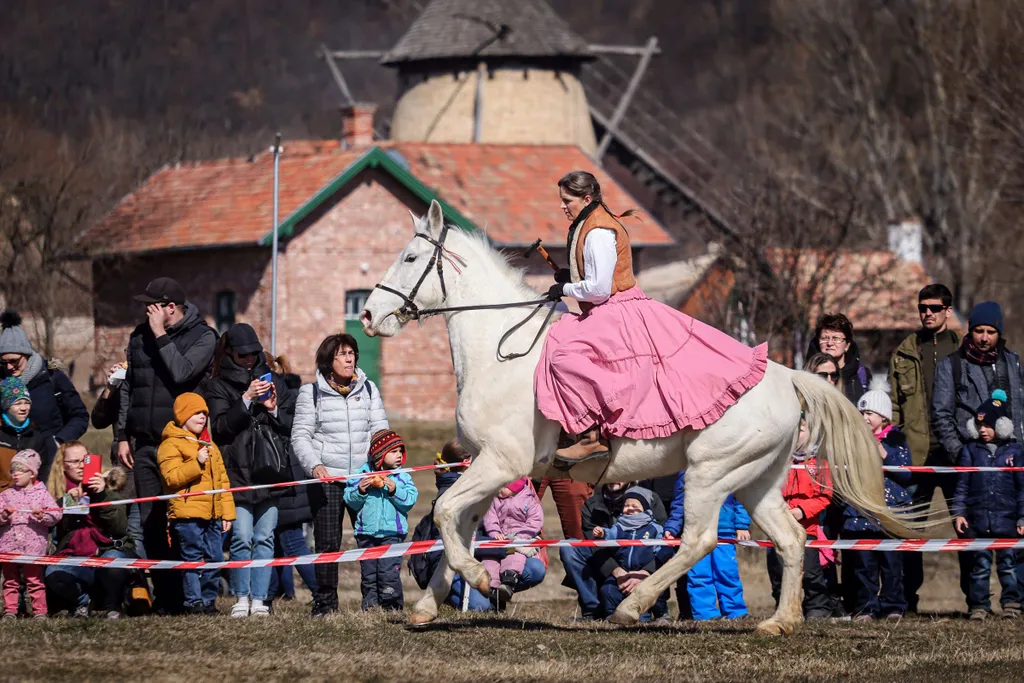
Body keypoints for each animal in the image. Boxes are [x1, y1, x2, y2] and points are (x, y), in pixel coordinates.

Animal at [362, 200, 937, 638]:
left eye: (410, 256)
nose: (368, 315)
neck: (500, 351)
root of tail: (784, 375)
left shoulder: (502, 463)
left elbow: (445, 515)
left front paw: (484, 584)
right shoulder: (487, 466)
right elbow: (457, 525)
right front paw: (430, 605)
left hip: (710, 472)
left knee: (698, 541)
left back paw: (629, 608)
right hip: (757, 479)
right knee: (792, 538)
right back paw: (779, 622)